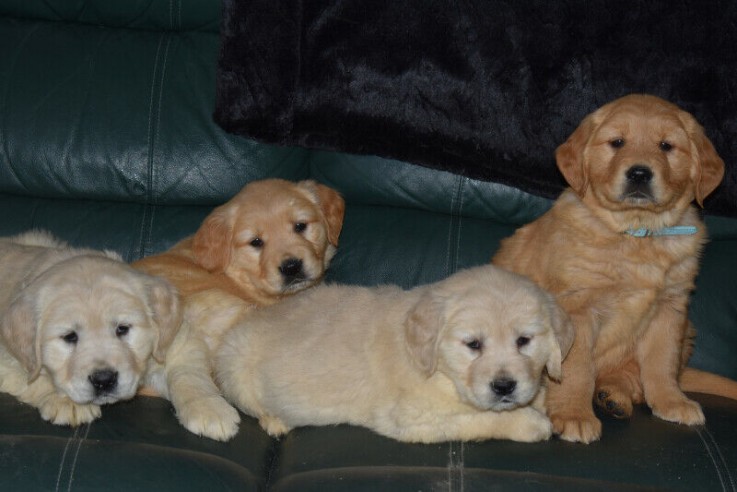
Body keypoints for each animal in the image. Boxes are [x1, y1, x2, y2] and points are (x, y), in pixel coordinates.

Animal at [216, 266, 572, 442]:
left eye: (524, 340)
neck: (438, 370)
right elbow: (482, 418)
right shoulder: (413, 417)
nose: (504, 387)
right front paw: (531, 423)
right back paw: (276, 420)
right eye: (473, 345)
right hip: (233, 365)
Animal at [492, 94, 728, 444]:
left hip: (687, 332)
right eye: (617, 142)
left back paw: (614, 395)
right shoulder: (577, 309)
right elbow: (576, 369)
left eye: (666, 146)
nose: (640, 173)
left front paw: (671, 401)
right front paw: (573, 415)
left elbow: (661, 363)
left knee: (634, 377)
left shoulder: (670, 310)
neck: (636, 233)